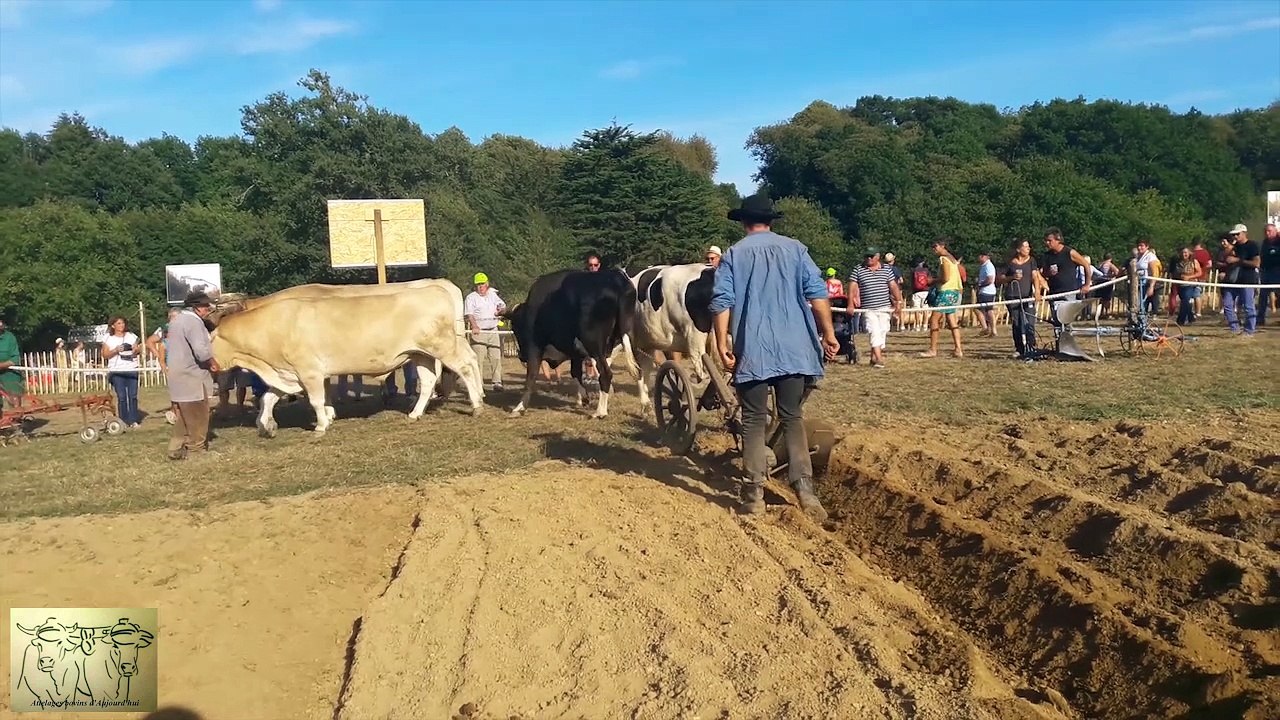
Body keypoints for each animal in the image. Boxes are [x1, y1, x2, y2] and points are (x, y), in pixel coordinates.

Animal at [210, 281, 486, 436]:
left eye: (209, 337)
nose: (211, 366)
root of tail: (437, 287)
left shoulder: (309, 371)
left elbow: (317, 399)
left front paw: (322, 424)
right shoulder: (287, 373)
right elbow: (268, 398)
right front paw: (265, 425)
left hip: (443, 346)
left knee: (466, 365)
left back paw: (477, 404)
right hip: (420, 354)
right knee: (429, 381)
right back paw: (415, 413)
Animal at [508, 268, 640, 418]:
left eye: (515, 327)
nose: (521, 355)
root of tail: (616, 278)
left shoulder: (535, 346)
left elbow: (531, 376)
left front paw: (519, 407)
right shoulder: (575, 352)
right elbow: (575, 372)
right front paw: (584, 398)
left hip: (594, 345)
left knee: (606, 373)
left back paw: (600, 412)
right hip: (625, 340)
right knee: (638, 370)